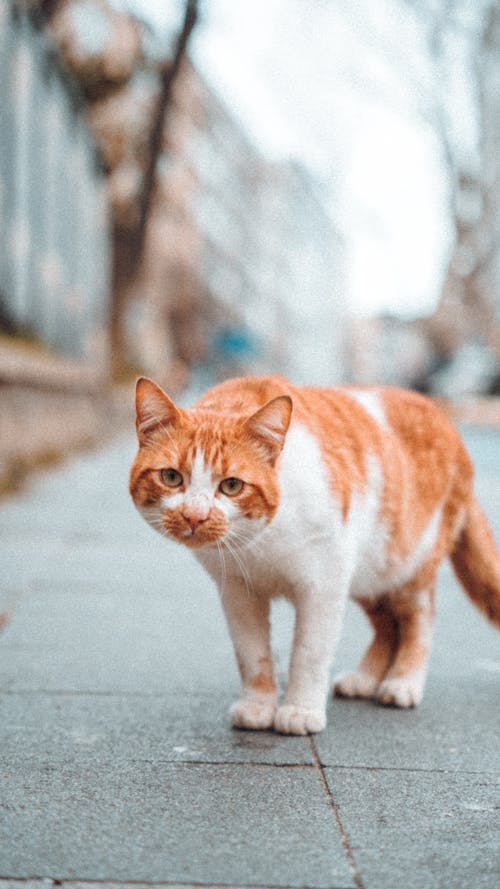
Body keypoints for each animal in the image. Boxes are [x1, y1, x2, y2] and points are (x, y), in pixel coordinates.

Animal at [130, 374, 500, 736]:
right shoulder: (238, 593)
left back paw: (403, 682)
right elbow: (252, 655)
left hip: (408, 565)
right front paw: (258, 707)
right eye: (171, 477)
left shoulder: (323, 586)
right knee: (386, 626)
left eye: (232, 486)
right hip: (370, 576)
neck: (258, 545)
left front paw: (300, 710)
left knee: (418, 619)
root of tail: (446, 419)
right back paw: (364, 679)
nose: (194, 516)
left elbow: (309, 654)